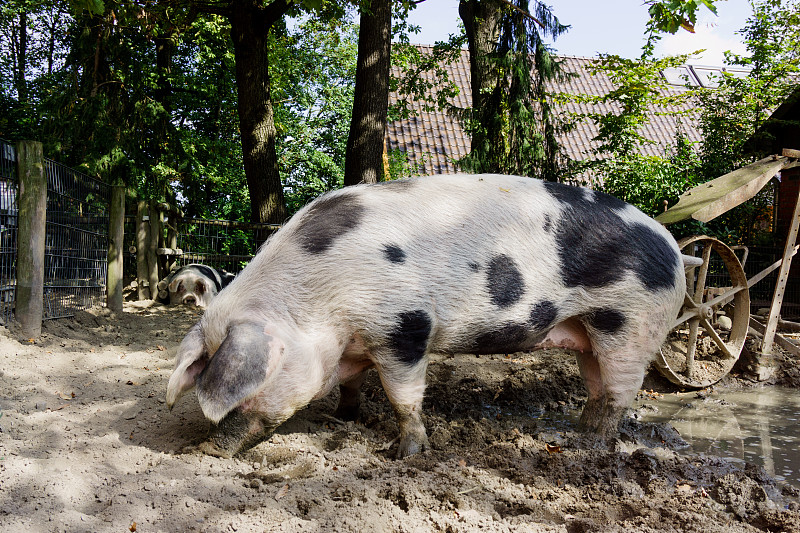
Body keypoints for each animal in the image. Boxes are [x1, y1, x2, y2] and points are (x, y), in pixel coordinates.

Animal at [166, 175, 692, 458]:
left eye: (252, 383)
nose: (203, 451)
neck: (316, 299)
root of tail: (673, 246)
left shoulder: (404, 325)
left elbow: (404, 398)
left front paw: (406, 455)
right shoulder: (355, 341)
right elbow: (353, 383)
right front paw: (344, 419)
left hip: (632, 324)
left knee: (620, 395)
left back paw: (593, 447)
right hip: (592, 332)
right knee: (598, 386)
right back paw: (578, 435)